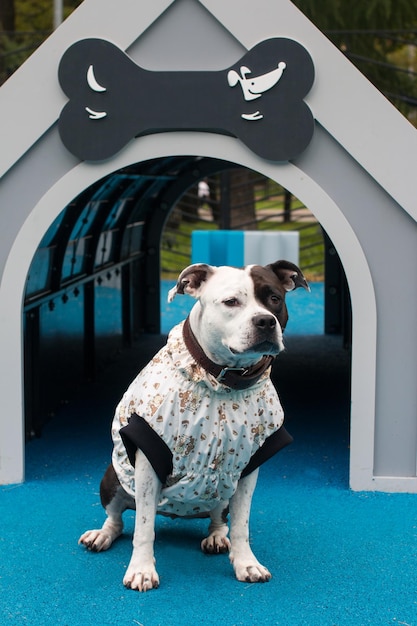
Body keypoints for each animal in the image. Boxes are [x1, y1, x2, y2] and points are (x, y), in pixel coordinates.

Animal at [79, 260, 308, 588]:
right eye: (231, 302)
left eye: (274, 298)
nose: (265, 321)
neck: (225, 381)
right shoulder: (148, 460)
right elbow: (144, 527)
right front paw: (141, 569)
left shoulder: (249, 467)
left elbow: (241, 524)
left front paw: (246, 563)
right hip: (114, 476)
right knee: (118, 518)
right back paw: (101, 535)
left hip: (224, 491)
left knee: (219, 519)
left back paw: (216, 538)